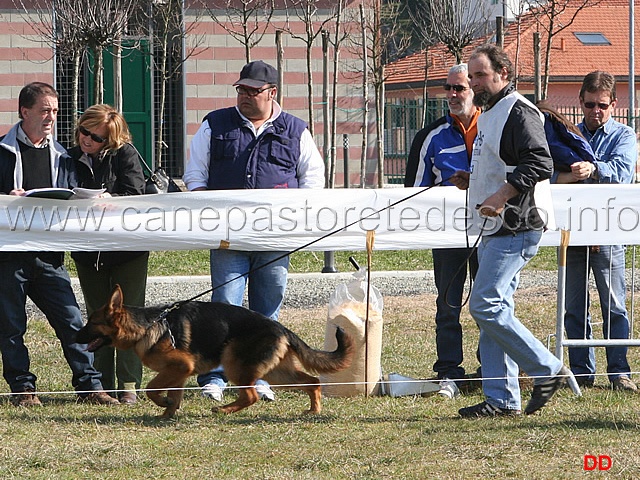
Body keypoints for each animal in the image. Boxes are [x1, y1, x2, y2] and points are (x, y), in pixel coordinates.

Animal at [77, 284, 356, 416]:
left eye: (91, 323)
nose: (74, 335)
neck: (147, 326)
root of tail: (280, 327)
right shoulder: (179, 372)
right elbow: (174, 395)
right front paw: (167, 413)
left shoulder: (180, 366)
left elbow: (151, 388)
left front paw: (163, 403)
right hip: (276, 373)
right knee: (312, 381)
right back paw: (314, 411)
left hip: (234, 363)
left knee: (251, 396)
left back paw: (223, 410)